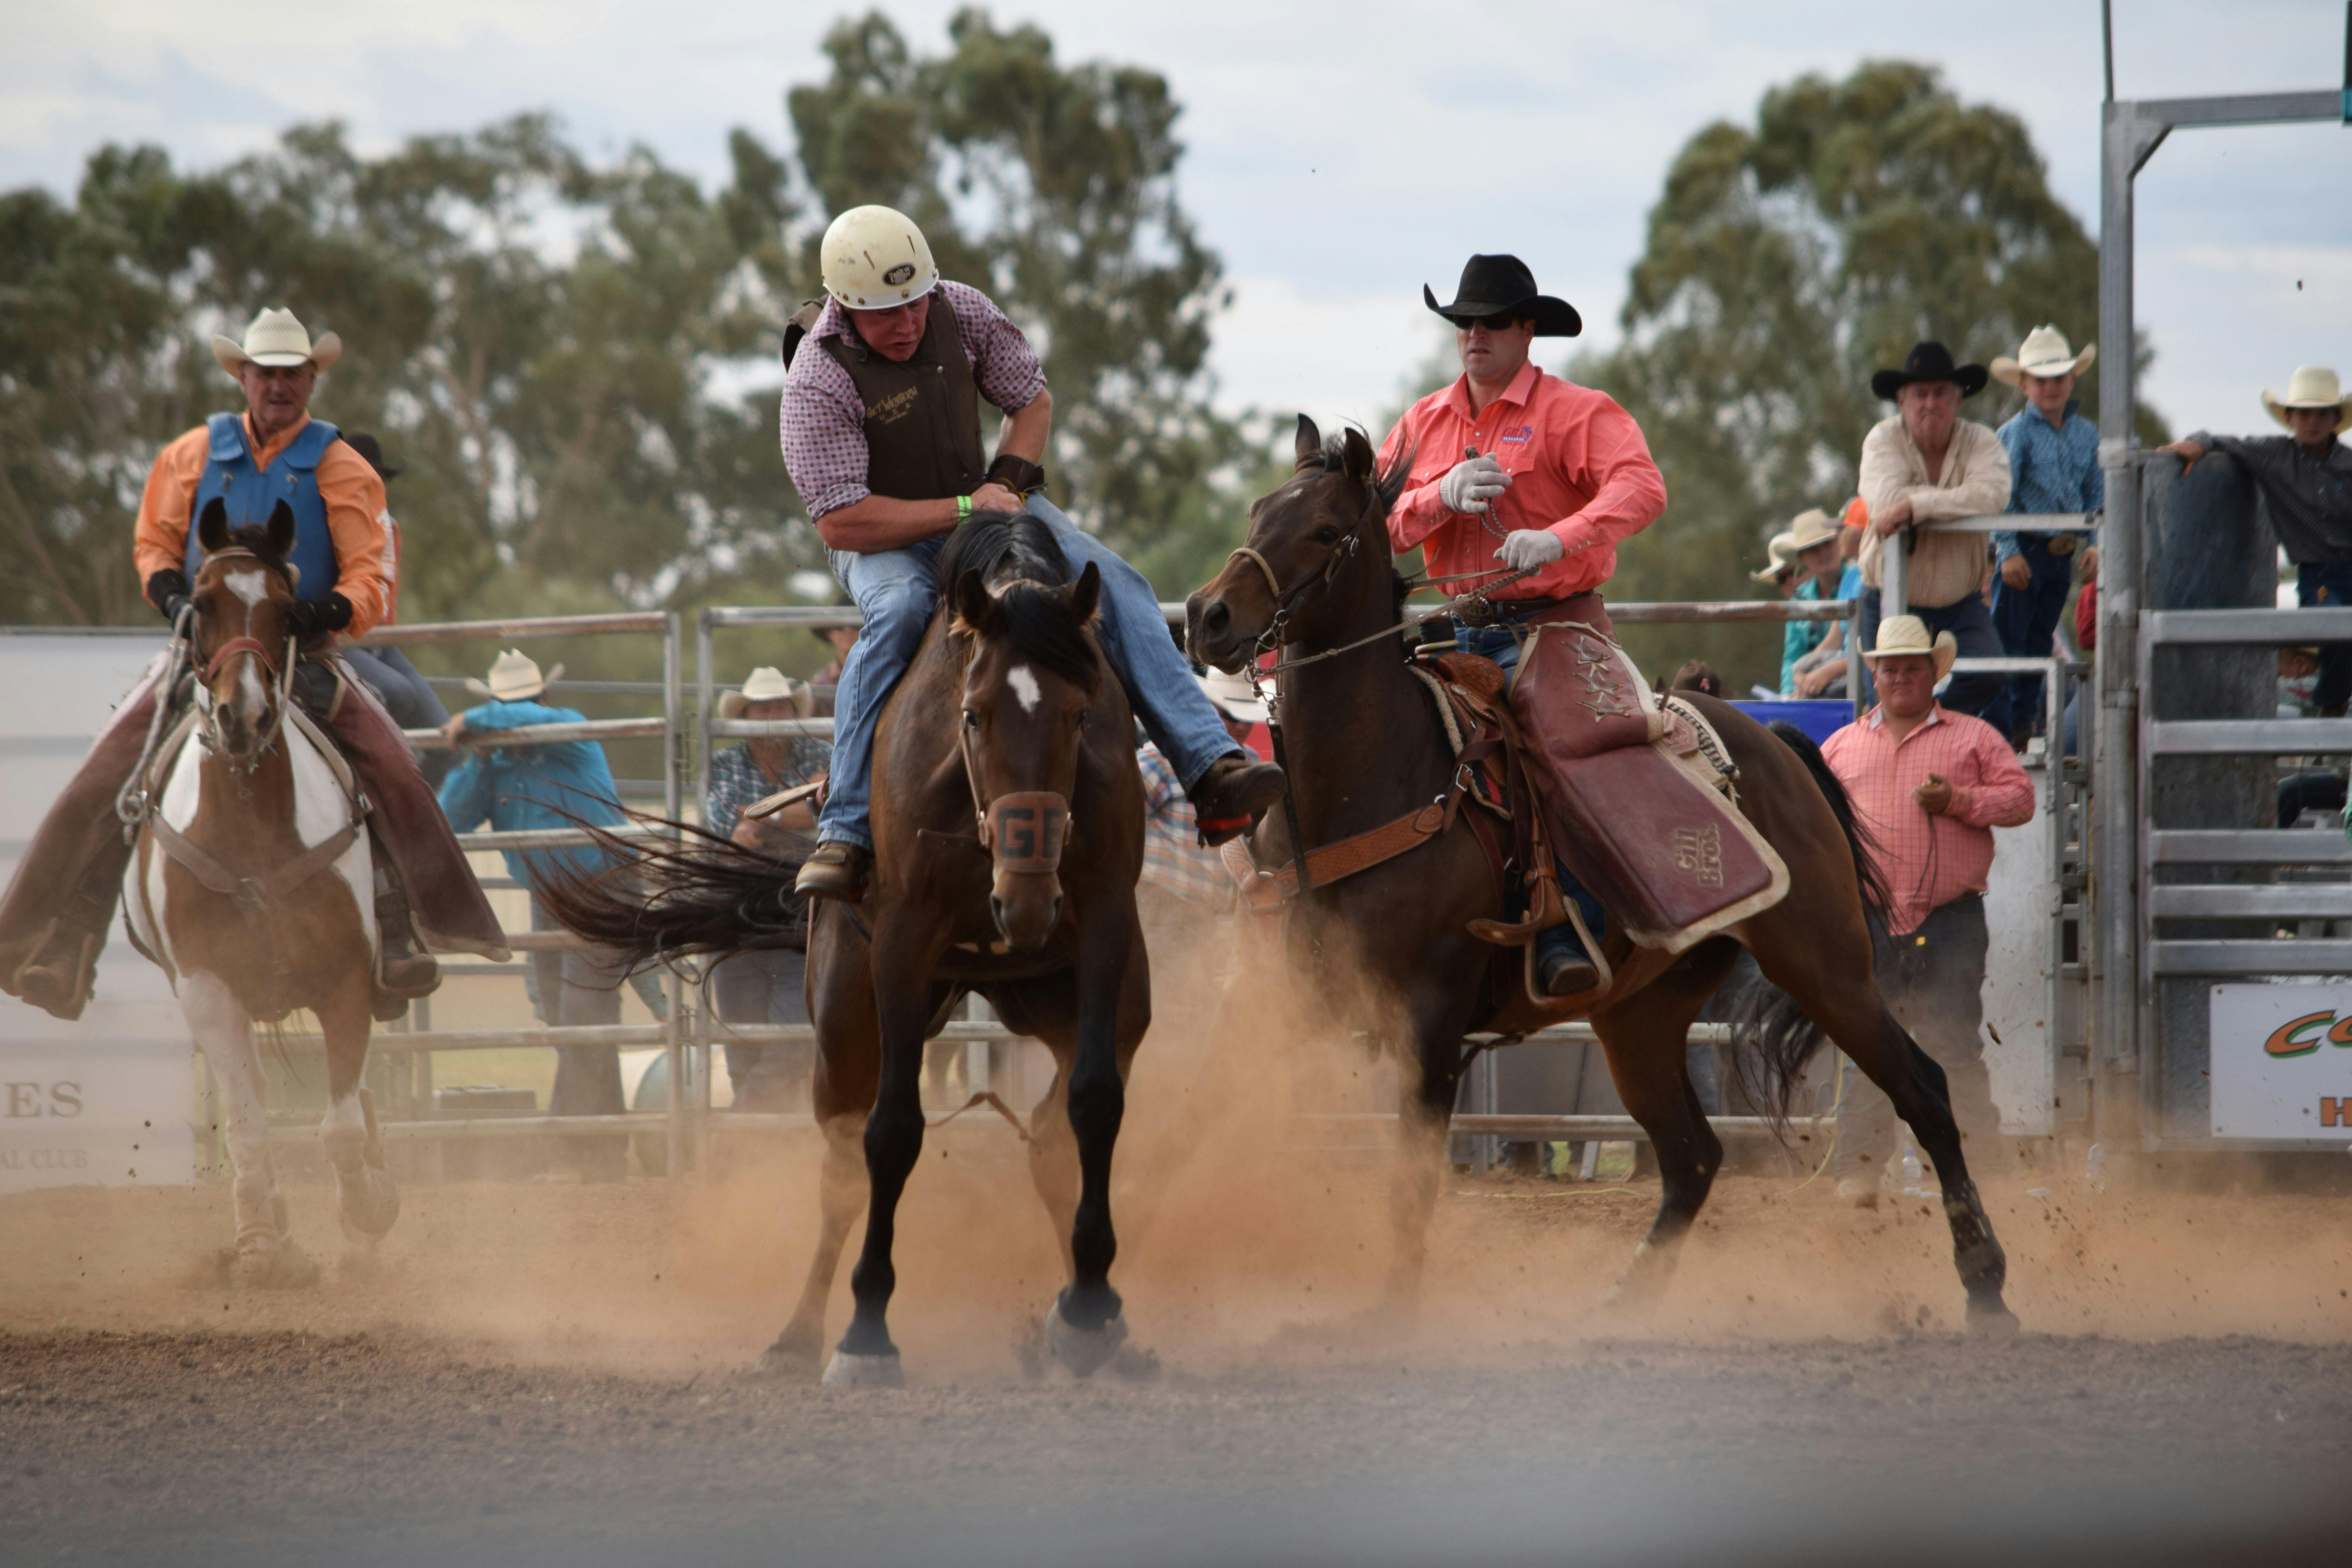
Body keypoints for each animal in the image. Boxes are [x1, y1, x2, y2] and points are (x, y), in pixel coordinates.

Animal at [123, 499, 401, 1285]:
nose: (241, 717)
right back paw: (272, 1228)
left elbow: (341, 1128)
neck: (252, 825)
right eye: (203, 606)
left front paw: (369, 1209)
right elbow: (249, 1128)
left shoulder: (347, 980)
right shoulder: (209, 990)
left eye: (285, 609)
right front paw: (257, 1246)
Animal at [539, 512, 1152, 1385]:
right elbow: (891, 1133)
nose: (1028, 897)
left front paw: (1095, 1307)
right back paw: (799, 1334)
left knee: (1050, 1131)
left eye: (1080, 714)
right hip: (844, 1017)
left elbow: (1096, 1102)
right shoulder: (901, 945)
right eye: (974, 715)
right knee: (840, 1165)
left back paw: (1078, 1321)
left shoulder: (1104, 922)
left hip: (1067, 994)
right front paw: (866, 1331)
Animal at [1184, 417, 2016, 1335]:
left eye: (1327, 530)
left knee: (1925, 1090)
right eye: (1259, 510)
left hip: (1826, 964)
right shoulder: (1275, 992)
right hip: (1641, 1014)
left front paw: (1391, 1308)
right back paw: (1624, 1301)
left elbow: (1412, 1171)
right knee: (1694, 1155)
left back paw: (1986, 1280)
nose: (1206, 616)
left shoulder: (1430, 1019)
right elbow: (1206, 1112)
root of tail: (1776, 746)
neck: (1363, 785)